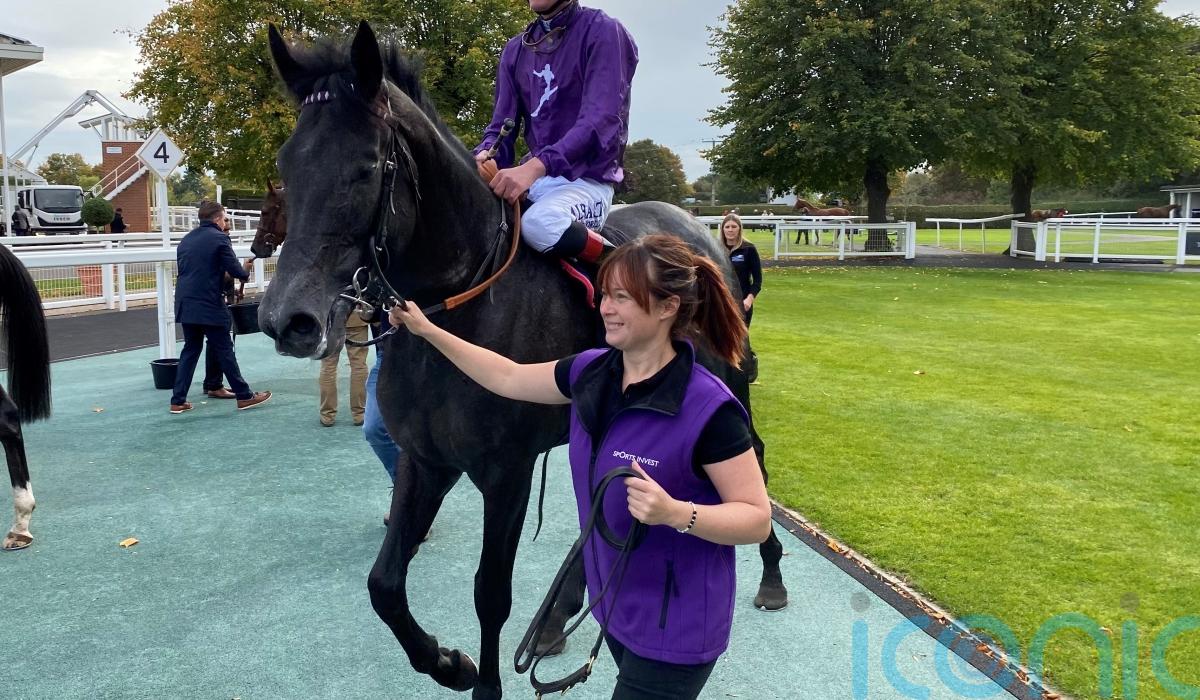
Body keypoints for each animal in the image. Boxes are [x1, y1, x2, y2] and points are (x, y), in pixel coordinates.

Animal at [260, 23, 786, 699]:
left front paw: (481, 680)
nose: (287, 320)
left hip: (728, 391)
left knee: (755, 469)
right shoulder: (425, 460)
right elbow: (384, 585)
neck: (459, 308)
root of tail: (696, 233)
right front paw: (448, 662)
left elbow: (490, 593)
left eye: (366, 167)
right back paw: (560, 615)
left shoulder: (504, 474)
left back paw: (770, 574)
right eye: (285, 164)